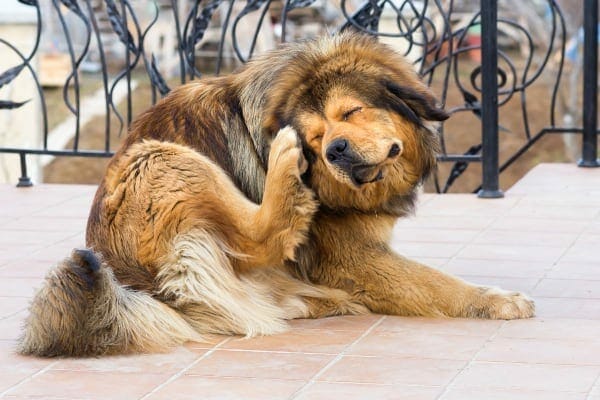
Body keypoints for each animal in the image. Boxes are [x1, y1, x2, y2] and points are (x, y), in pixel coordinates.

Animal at [18, 32, 536, 356]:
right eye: (315, 137)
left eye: (350, 113)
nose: (333, 150)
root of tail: (128, 284)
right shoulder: (352, 256)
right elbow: (437, 283)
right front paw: (498, 301)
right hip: (160, 158)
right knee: (259, 237)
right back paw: (284, 175)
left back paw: (316, 299)